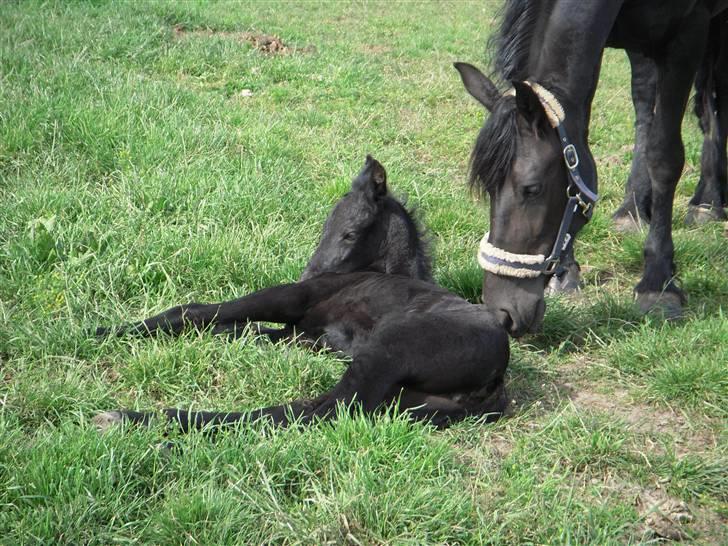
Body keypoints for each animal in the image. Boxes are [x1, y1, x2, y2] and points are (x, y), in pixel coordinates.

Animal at [94, 154, 510, 430]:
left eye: (350, 233)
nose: (310, 273)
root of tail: (495, 379)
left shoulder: (294, 299)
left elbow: (196, 310)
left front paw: (103, 331)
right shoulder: (306, 334)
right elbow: (243, 330)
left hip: (385, 352)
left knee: (320, 410)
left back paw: (138, 417)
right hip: (403, 399)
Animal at [456, 0, 728, 336]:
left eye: (531, 189)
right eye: (488, 189)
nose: (503, 313)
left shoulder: (687, 33)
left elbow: (665, 155)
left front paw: (658, 282)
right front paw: (566, 273)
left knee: (715, 97)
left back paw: (708, 201)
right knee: (647, 100)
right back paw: (632, 208)